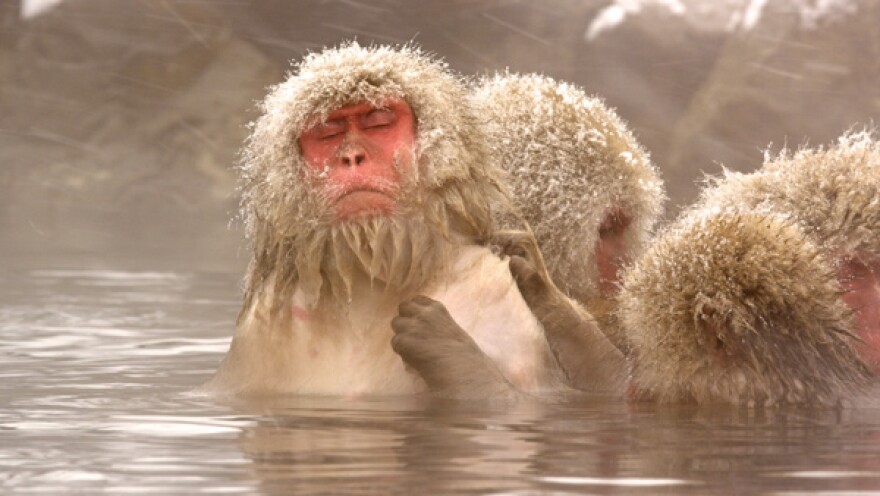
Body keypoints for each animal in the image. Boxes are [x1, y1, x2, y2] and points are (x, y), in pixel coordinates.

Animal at [201, 43, 566, 397]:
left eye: (377, 122)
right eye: (328, 132)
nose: (352, 157)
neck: (375, 281)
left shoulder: (502, 299)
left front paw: (444, 351)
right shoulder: (257, 332)